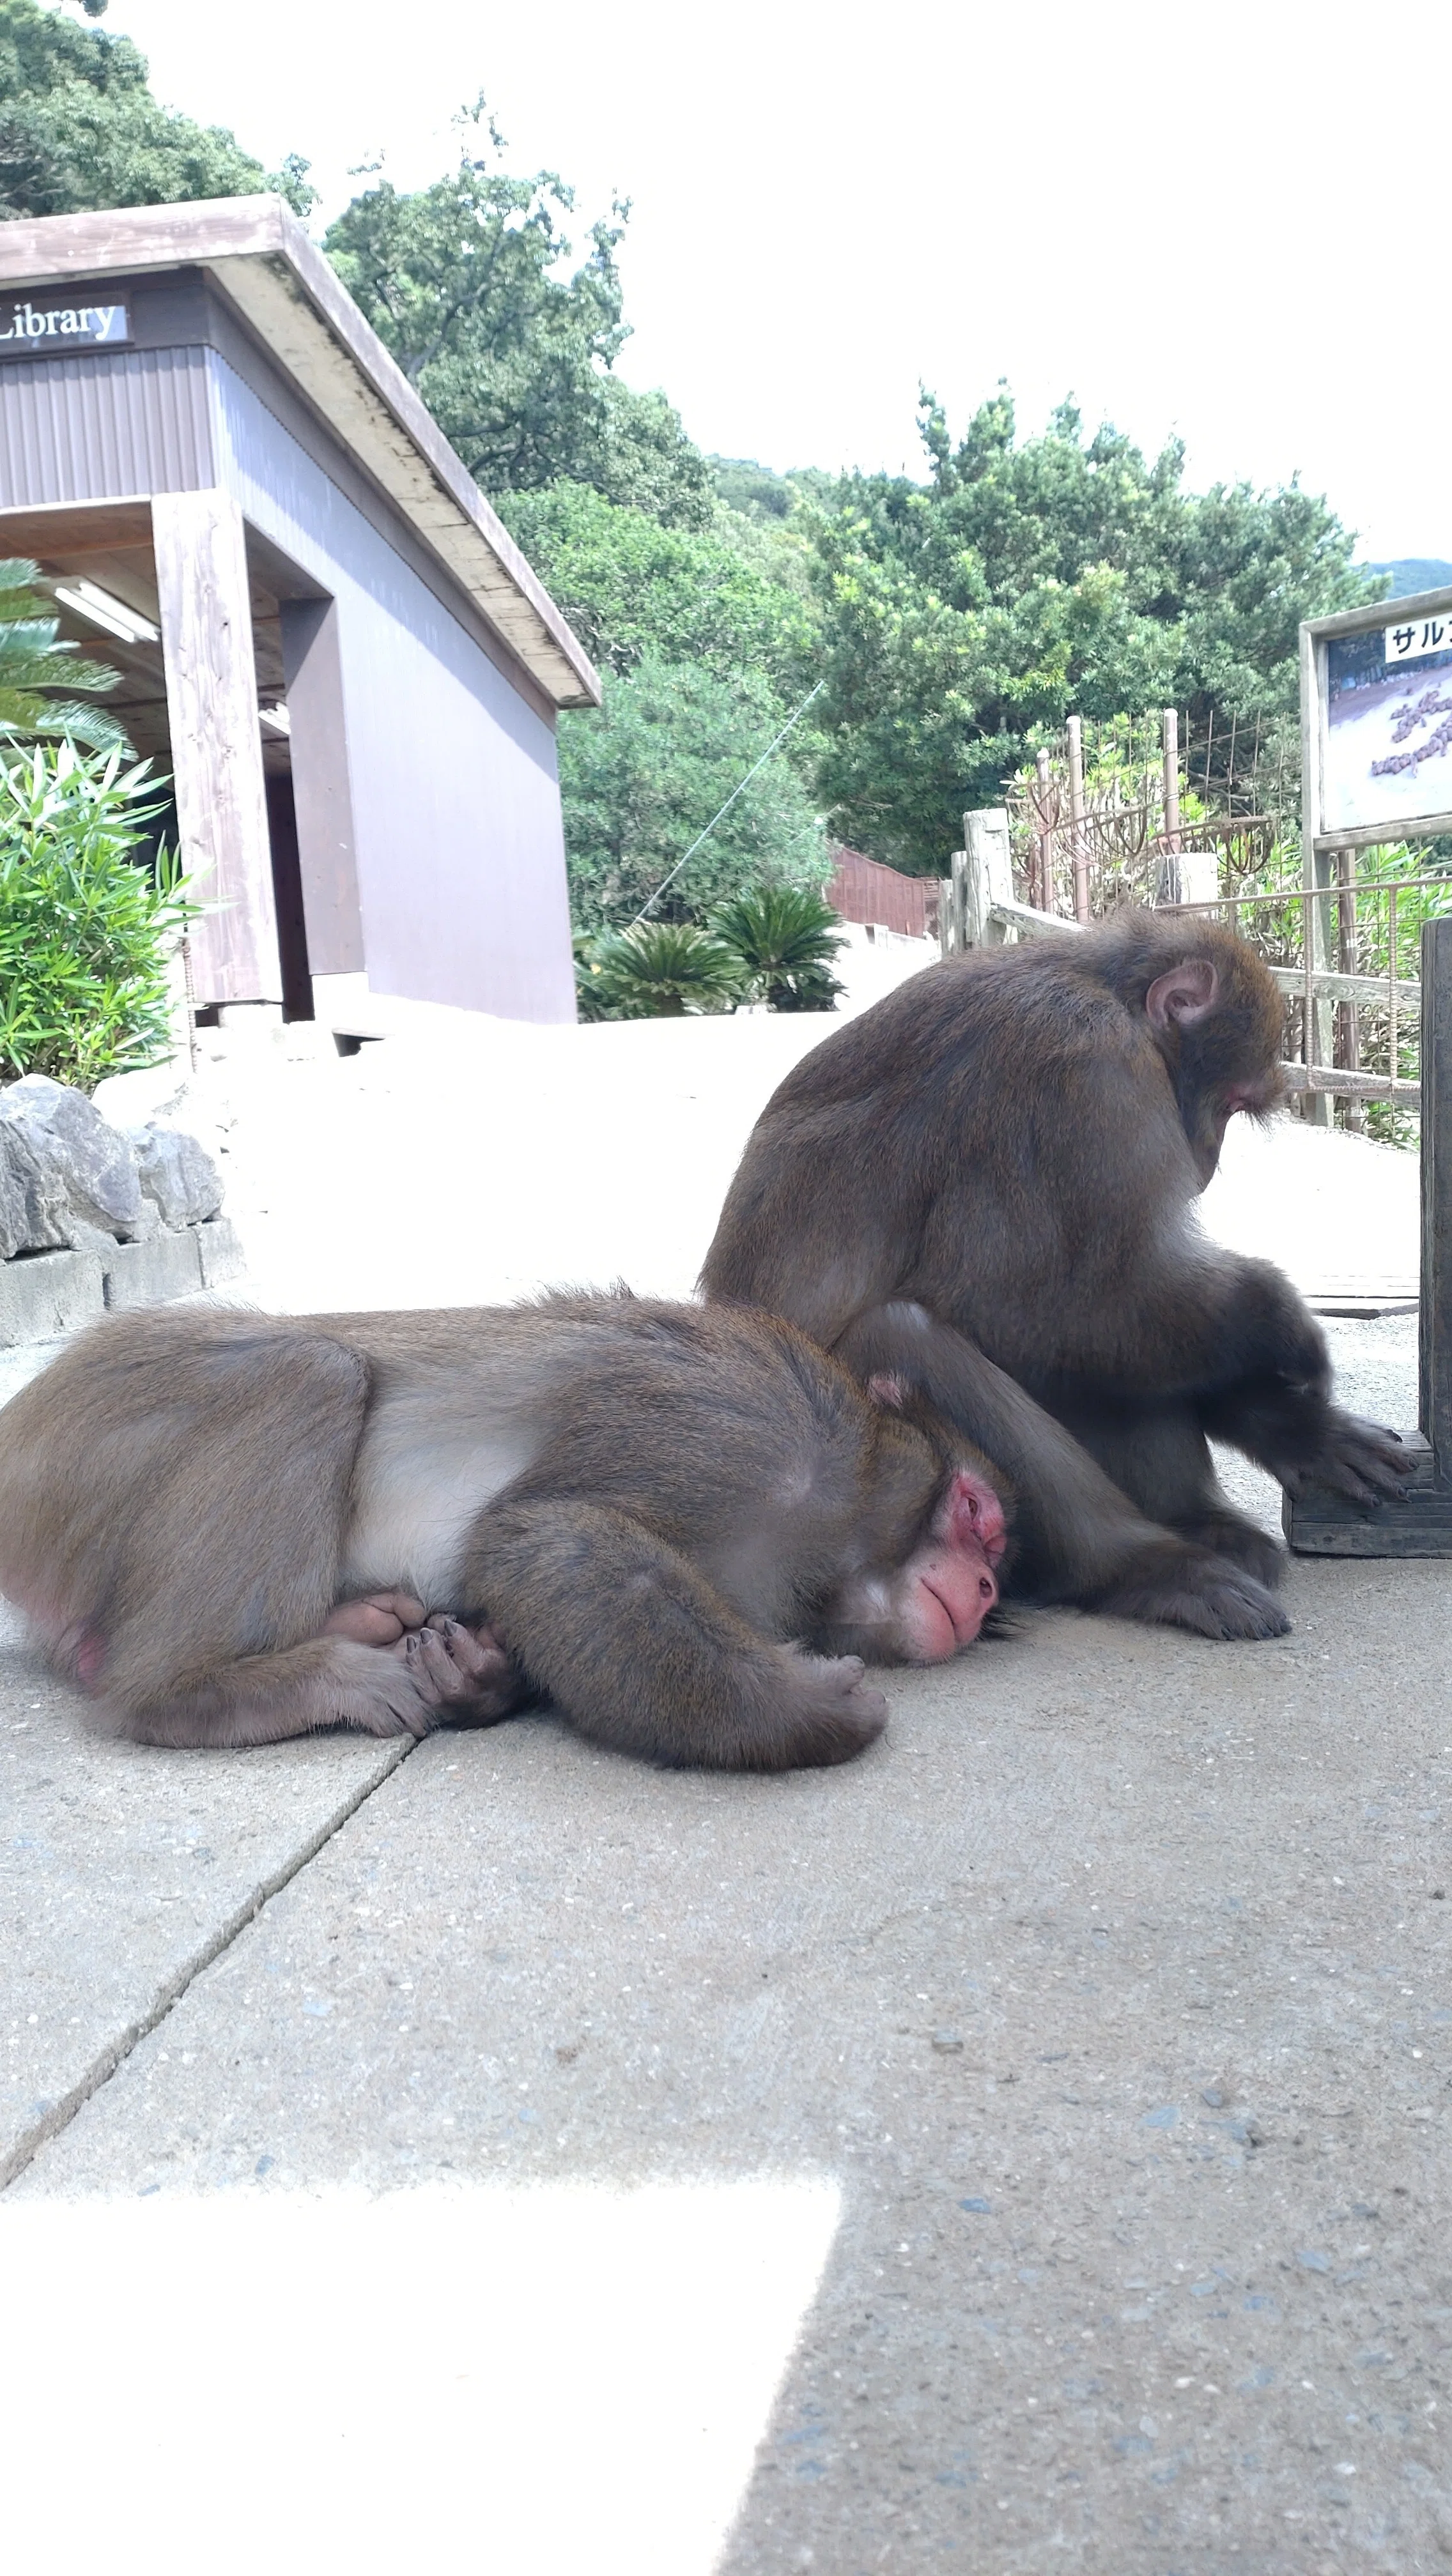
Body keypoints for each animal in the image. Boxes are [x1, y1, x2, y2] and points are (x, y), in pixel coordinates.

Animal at [0, 1292, 1012, 1771]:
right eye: (978, 1518)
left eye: (995, 1553)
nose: (988, 1587)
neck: (850, 1508)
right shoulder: (750, 1422)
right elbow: (540, 1531)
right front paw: (808, 1712)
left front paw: (478, 1674)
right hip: (88, 1437)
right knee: (304, 1371)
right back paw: (197, 1691)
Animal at [700, 908, 1406, 1642]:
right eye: (1231, 1103)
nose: (1207, 1160)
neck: (1103, 985)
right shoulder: (1087, 1070)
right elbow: (1026, 1306)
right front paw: (1280, 1325)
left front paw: (1293, 1426)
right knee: (908, 1334)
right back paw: (1145, 1570)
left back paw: (1196, 1521)